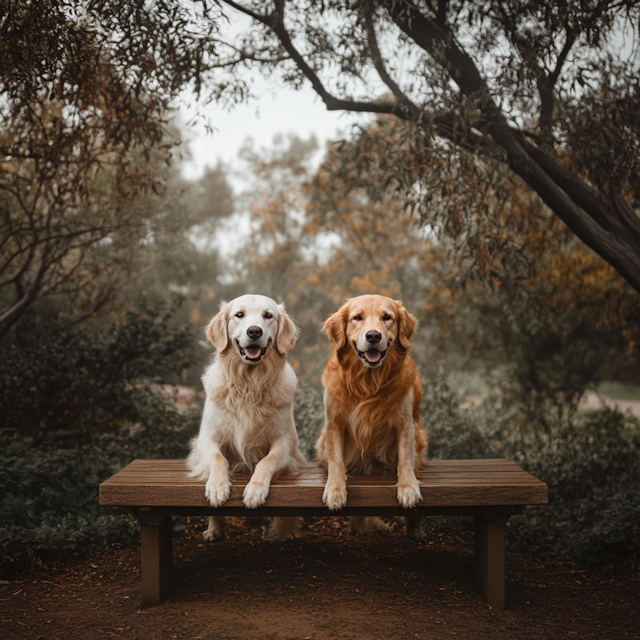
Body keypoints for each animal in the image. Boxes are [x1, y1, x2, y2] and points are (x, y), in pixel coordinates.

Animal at [188, 296, 304, 540]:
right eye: (239, 315)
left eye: (268, 316)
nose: (254, 331)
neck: (250, 384)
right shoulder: (206, 439)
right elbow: (218, 458)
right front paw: (217, 487)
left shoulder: (286, 442)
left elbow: (266, 460)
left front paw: (255, 490)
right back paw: (214, 530)